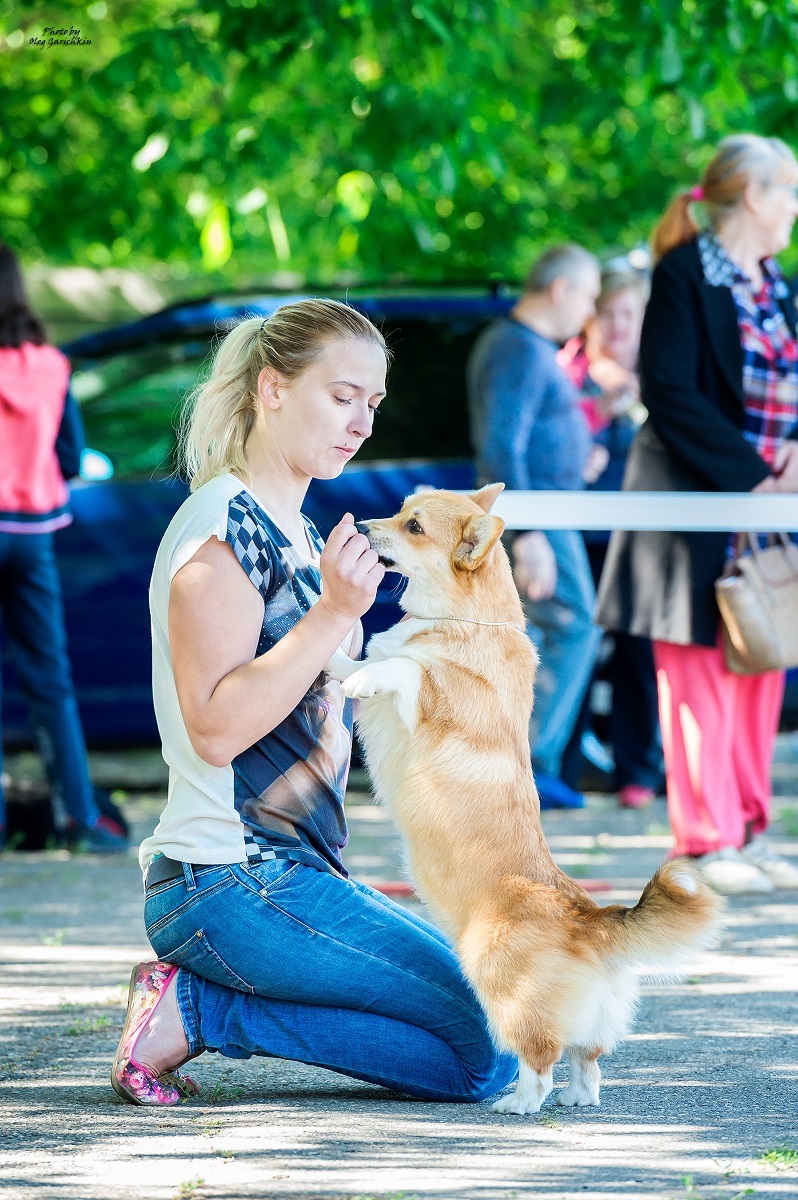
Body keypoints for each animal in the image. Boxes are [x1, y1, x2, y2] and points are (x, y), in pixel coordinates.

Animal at [324, 484, 720, 1113]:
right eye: (401, 509)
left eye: (413, 527)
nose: (360, 525)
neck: (461, 617)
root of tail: (590, 921)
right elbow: (364, 656)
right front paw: (336, 663)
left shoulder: (435, 697)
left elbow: (404, 668)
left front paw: (366, 677)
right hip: (590, 1025)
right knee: (587, 1060)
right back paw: (577, 1098)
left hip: (499, 986)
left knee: (541, 1056)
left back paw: (519, 1102)